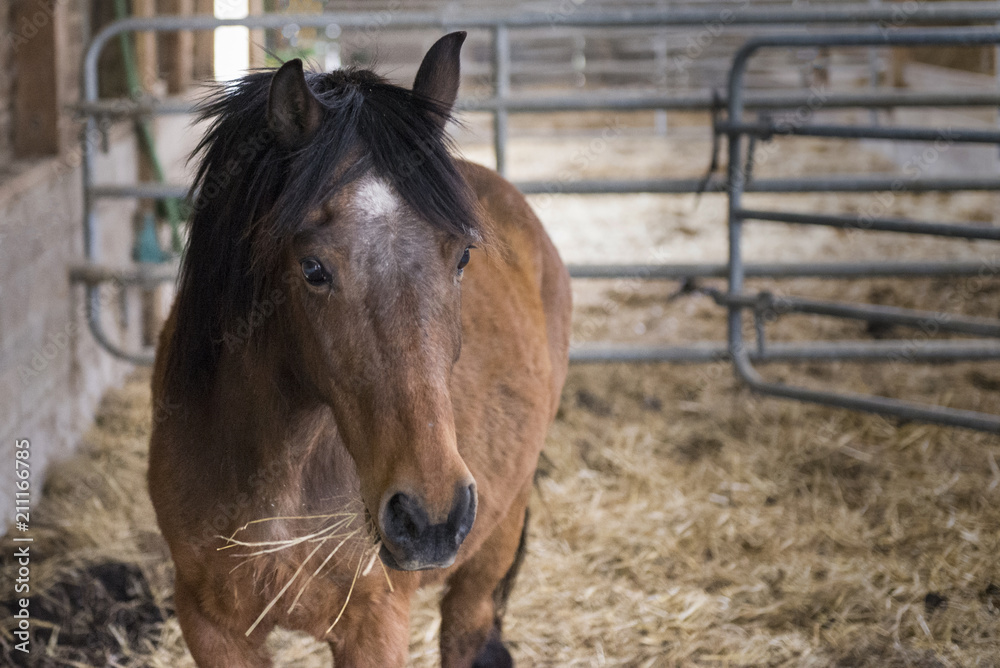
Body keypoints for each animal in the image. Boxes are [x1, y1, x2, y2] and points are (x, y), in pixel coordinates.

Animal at [147, 32, 571, 668]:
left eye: (462, 257)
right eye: (314, 269)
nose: (430, 517)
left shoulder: (375, 625)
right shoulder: (211, 625)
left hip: (493, 538)